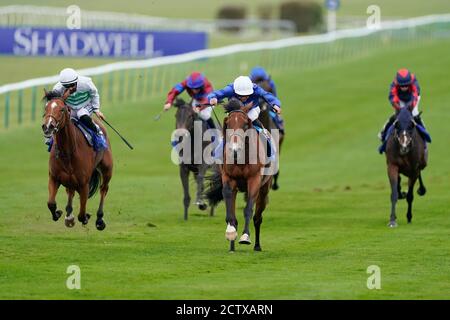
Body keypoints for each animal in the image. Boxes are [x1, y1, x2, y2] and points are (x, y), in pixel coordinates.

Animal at [41, 89, 113, 230]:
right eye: (46, 108)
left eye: (62, 109)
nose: (48, 127)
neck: (68, 152)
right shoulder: (54, 177)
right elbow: (51, 203)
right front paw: (59, 213)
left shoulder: (84, 183)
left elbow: (82, 214)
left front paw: (86, 217)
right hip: (70, 180)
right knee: (70, 191)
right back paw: (69, 215)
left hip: (107, 169)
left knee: (103, 189)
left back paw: (99, 219)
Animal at [205, 100, 274, 252]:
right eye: (228, 124)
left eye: (245, 124)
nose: (234, 150)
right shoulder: (229, 179)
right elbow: (230, 211)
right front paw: (231, 232)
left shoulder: (254, 180)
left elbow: (248, 210)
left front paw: (245, 237)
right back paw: (232, 246)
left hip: (264, 189)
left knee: (258, 217)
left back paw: (257, 246)